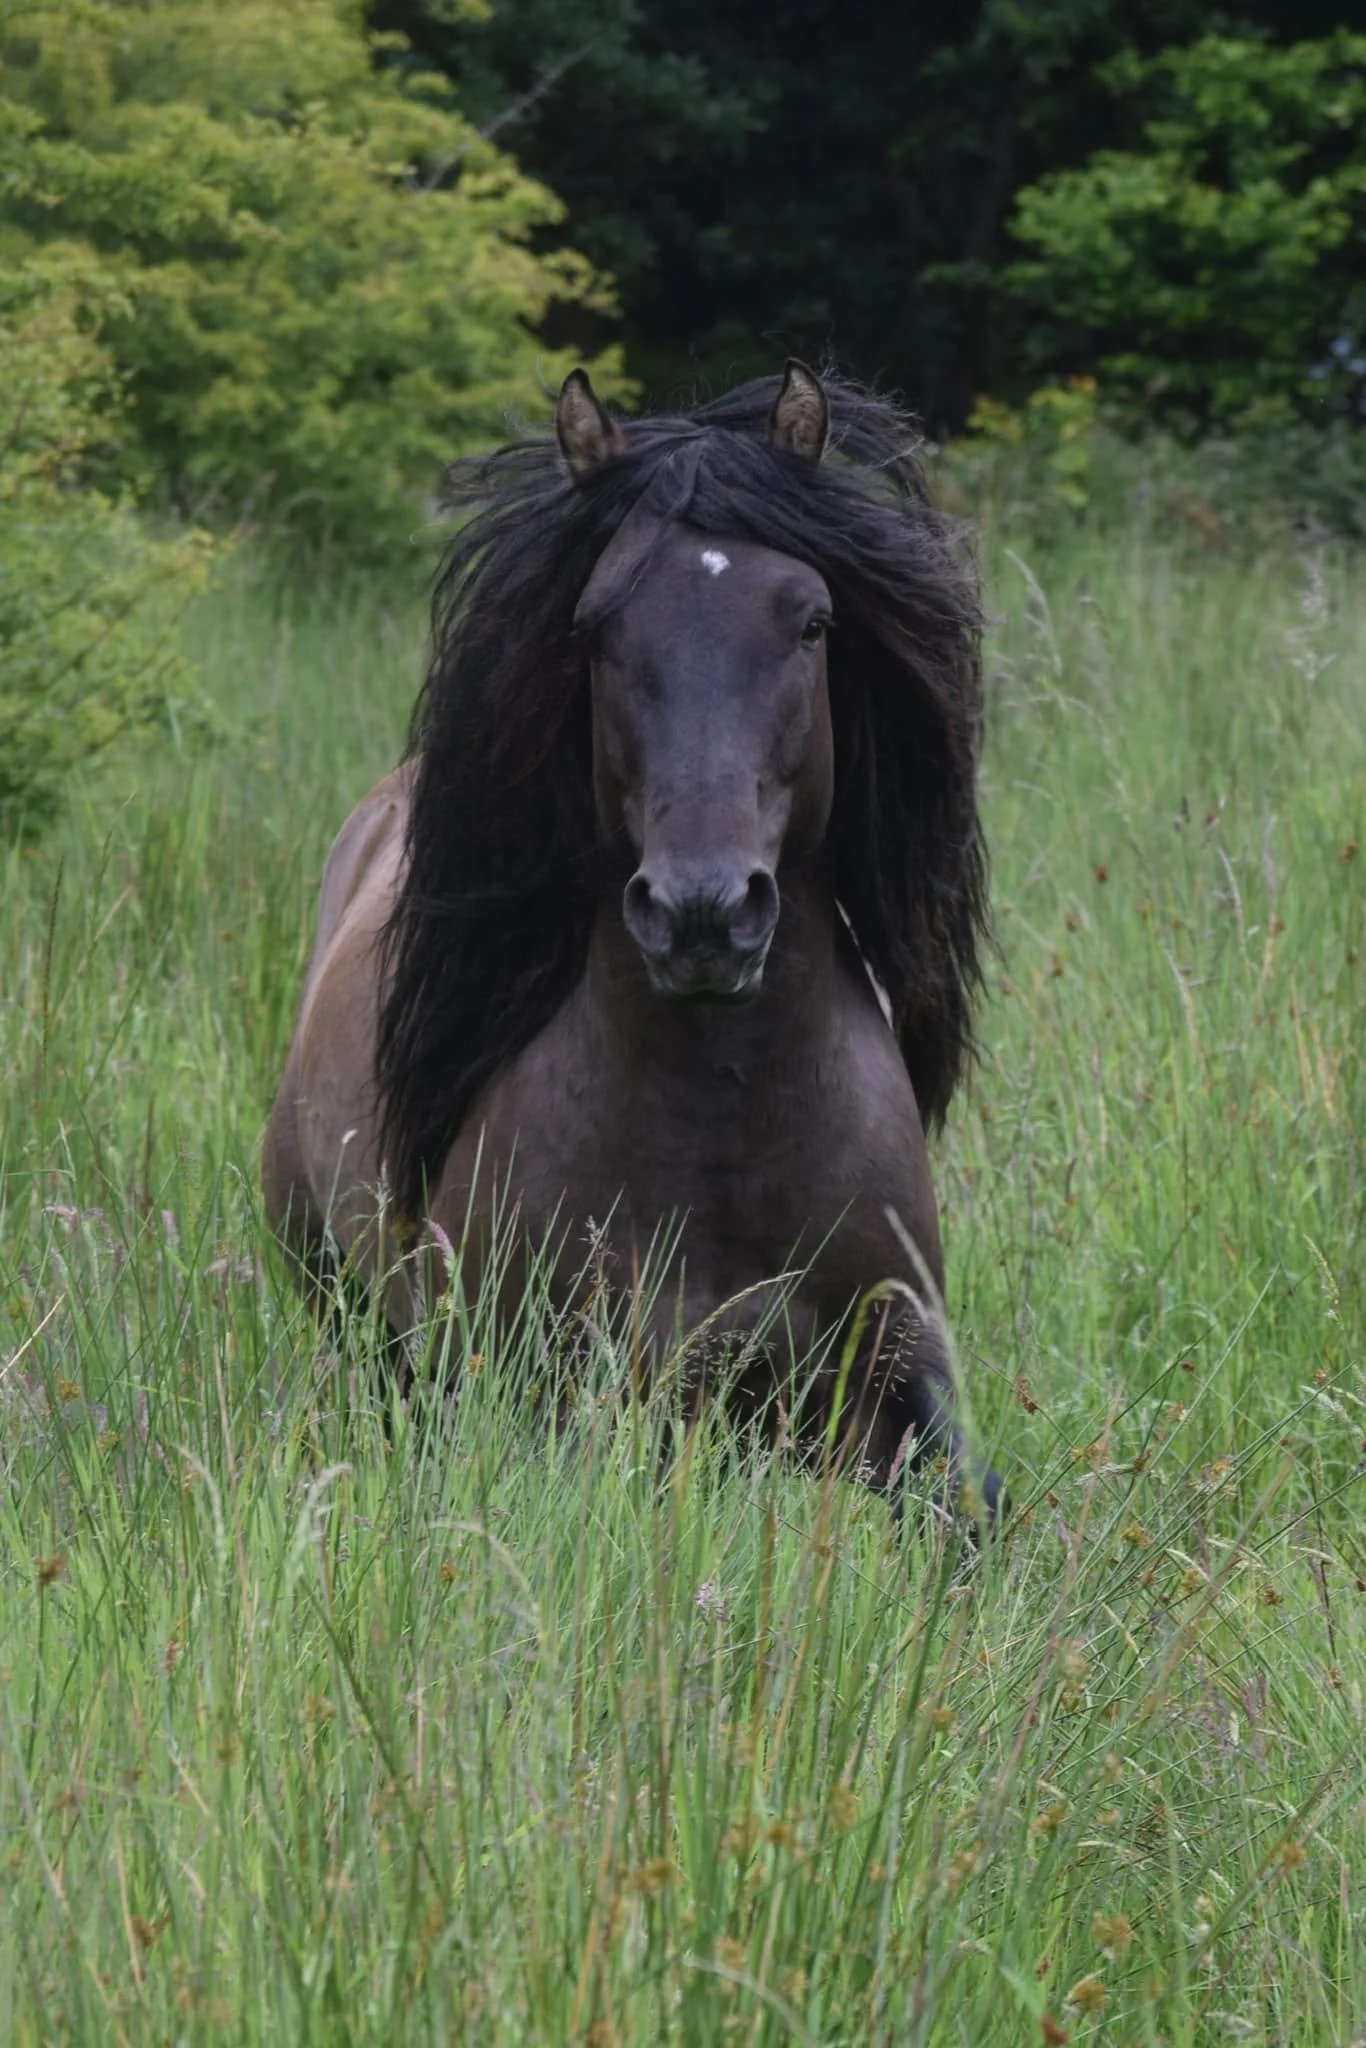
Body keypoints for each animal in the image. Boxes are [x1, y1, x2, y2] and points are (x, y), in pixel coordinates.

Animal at [262, 360, 1003, 1520]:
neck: (722, 1132)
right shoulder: (547, 1384)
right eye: (598, 630)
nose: (703, 913)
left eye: (812, 623)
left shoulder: (894, 1372)